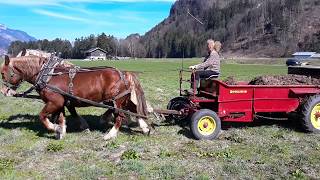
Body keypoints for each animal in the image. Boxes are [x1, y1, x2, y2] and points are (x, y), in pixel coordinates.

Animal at [0, 55, 151, 140]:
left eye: (2, 73)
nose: (3, 91)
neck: (47, 74)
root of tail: (124, 73)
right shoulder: (61, 102)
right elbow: (62, 117)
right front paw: (61, 131)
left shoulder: (55, 102)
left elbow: (42, 116)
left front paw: (54, 128)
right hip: (121, 99)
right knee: (135, 109)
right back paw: (145, 128)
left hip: (115, 101)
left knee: (120, 116)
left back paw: (110, 135)